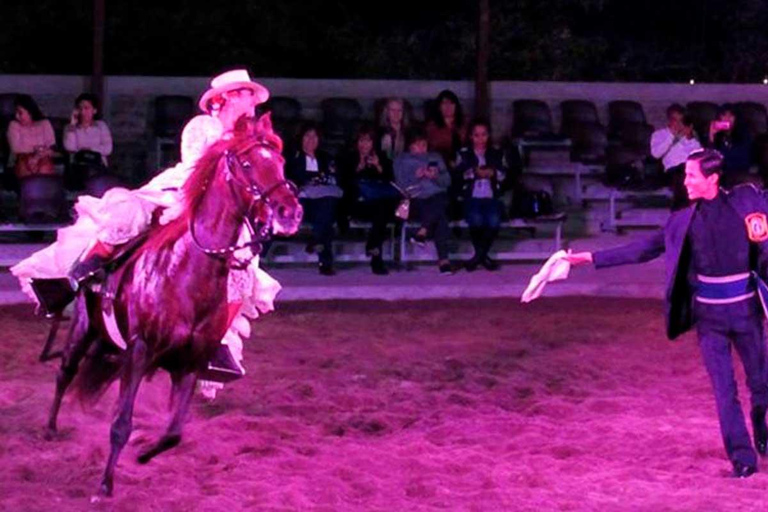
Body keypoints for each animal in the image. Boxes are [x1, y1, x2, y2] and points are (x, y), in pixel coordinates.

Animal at [43, 115, 304, 496]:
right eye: (246, 164)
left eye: (281, 162)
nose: (290, 212)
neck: (185, 271)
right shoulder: (139, 350)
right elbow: (121, 423)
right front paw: (104, 484)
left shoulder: (190, 363)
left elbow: (174, 432)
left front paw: (144, 455)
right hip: (83, 328)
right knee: (65, 372)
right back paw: (49, 428)